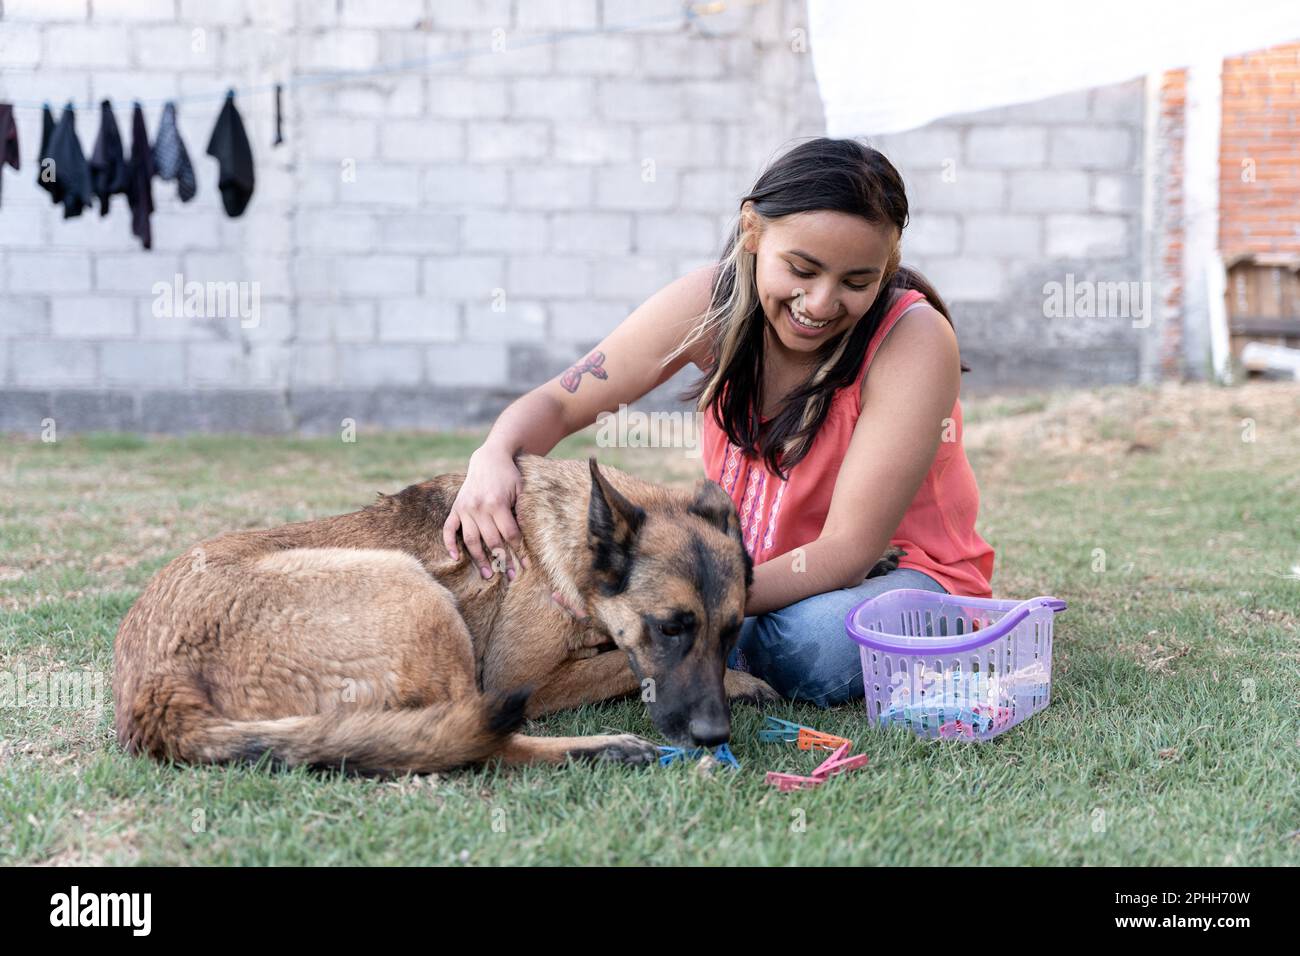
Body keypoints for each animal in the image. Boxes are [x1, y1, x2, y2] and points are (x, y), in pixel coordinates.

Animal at [114, 457, 800, 780]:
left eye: (731, 631)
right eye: (670, 628)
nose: (714, 736)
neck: (569, 539)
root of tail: (153, 690)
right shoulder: (523, 677)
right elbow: (617, 667)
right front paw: (742, 682)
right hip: (414, 590)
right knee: (481, 742)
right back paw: (603, 748)